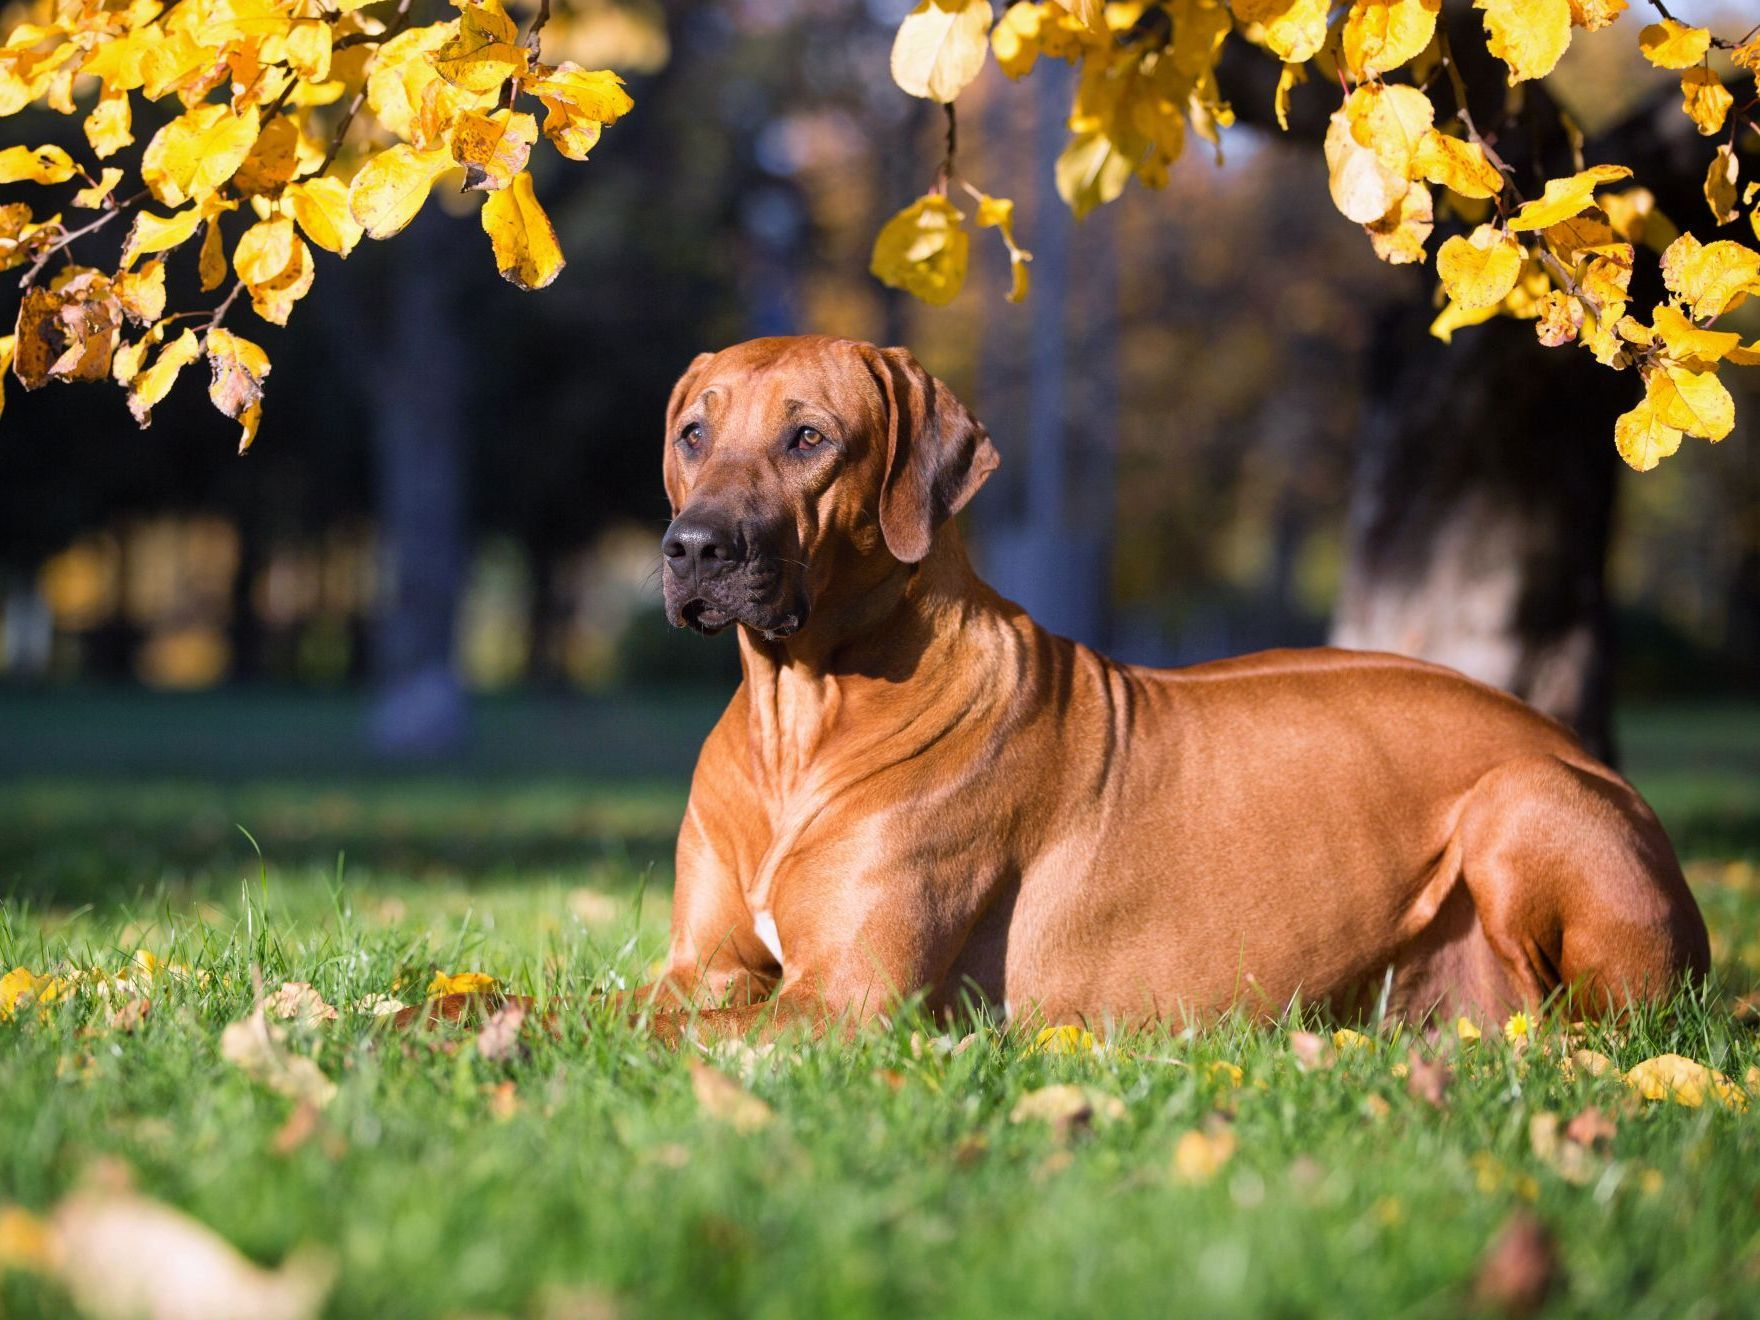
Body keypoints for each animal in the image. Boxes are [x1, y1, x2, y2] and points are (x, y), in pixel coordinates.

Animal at [637, 337, 1703, 1041]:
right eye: (693, 433)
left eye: (809, 439)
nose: (692, 548)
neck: (798, 716)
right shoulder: (703, 967)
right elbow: (621, 1003)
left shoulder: (848, 999)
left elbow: (660, 1035)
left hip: (1523, 799)